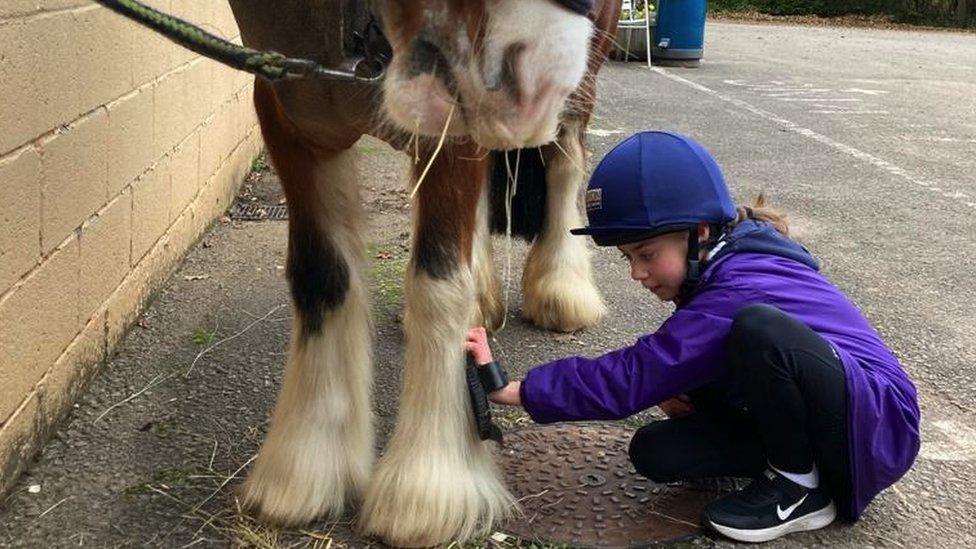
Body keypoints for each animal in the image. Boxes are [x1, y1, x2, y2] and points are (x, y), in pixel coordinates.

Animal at [227, 0, 616, 544]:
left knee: (566, 159)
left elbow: (438, 281)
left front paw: (427, 485)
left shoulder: (455, 119)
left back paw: (563, 287)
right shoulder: (289, 115)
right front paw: (306, 461)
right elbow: (320, 277)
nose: (530, 46)